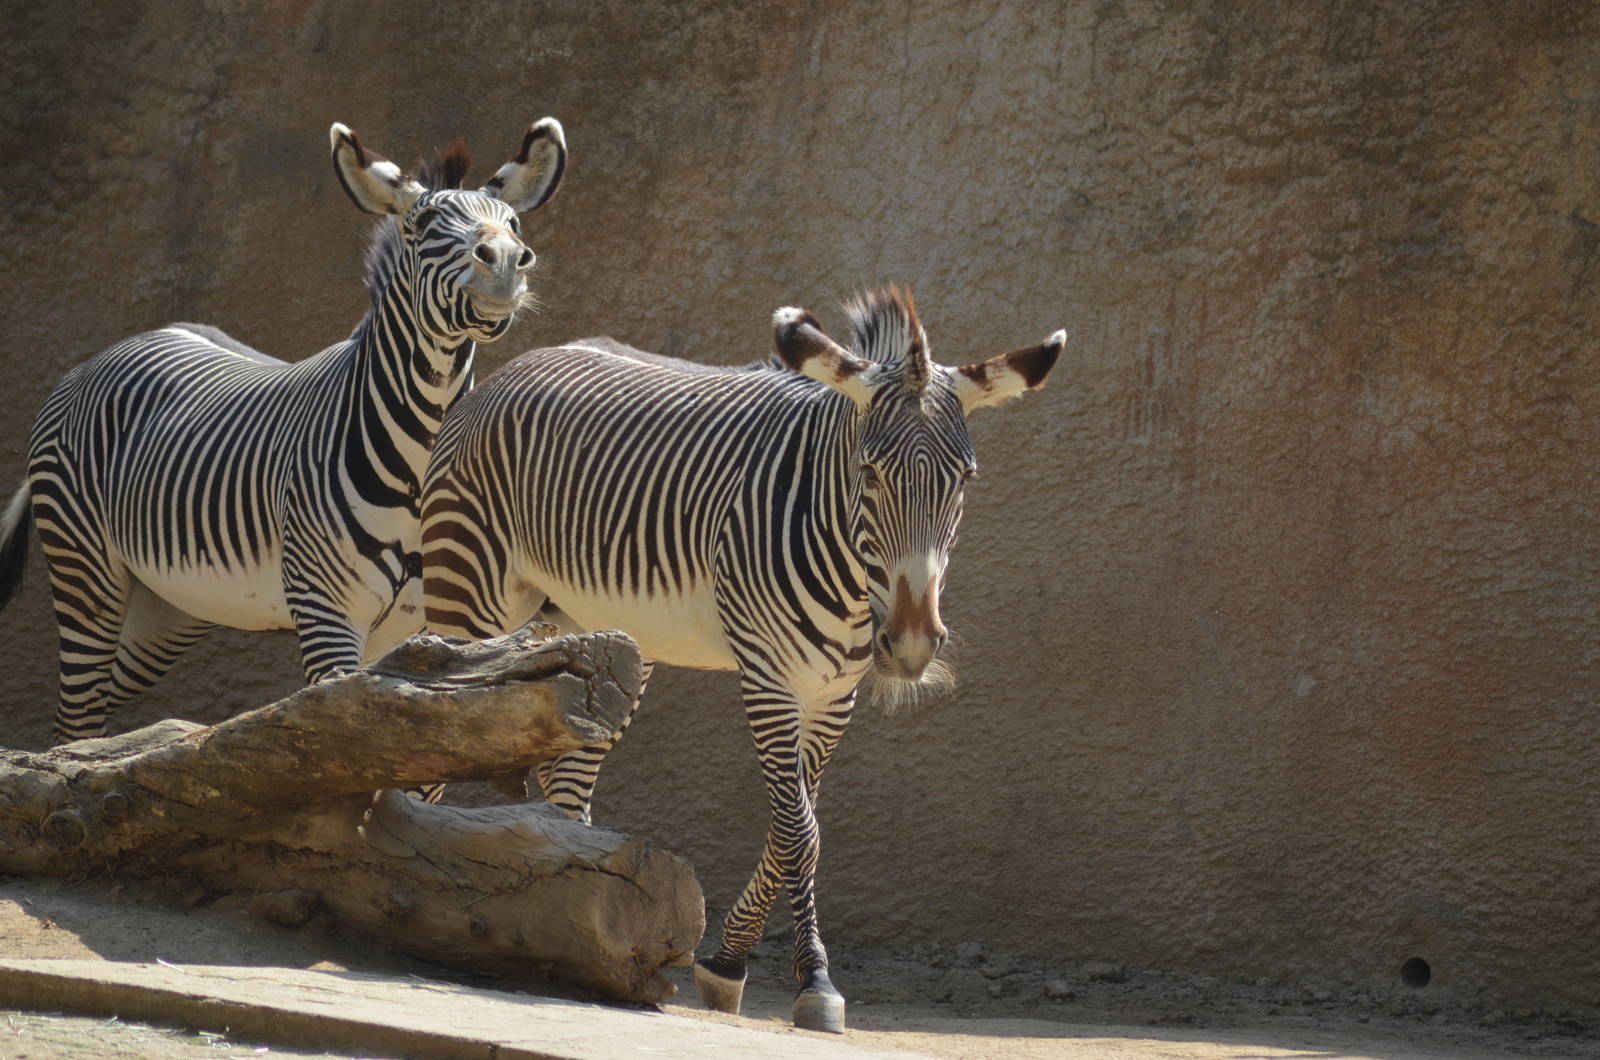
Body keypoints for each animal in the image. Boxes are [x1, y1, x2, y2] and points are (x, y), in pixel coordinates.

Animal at [0, 118, 567, 744]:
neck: (419, 465)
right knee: (75, 721)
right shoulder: (325, 611)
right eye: (422, 226)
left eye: (514, 224)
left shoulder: (412, 627)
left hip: (171, 603)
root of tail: (109, 353)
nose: (506, 260)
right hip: (86, 568)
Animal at [419, 287, 1064, 1032]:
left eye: (965, 478)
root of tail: (515, 365)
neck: (852, 578)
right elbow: (798, 830)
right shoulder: (768, 675)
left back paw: (575, 912)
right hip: (469, 585)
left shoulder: (831, 694)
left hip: (600, 633)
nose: (909, 644)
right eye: (870, 473)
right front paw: (805, 980)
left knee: (568, 769)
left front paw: (738, 964)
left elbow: (799, 827)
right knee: (437, 722)